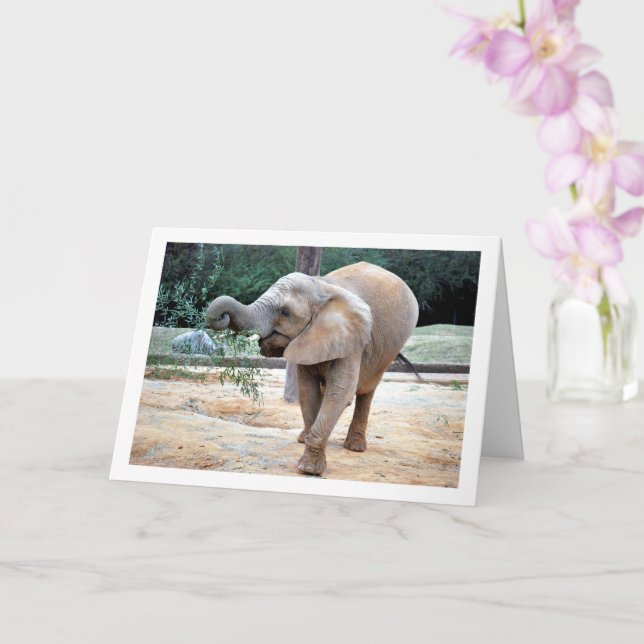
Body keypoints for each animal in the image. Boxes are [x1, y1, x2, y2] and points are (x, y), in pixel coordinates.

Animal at [205, 261, 419, 476]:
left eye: (285, 312)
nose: (223, 316)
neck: (322, 286)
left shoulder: (352, 339)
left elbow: (340, 391)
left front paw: (309, 469)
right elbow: (308, 389)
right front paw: (305, 443)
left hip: (387, 352)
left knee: (367, 390)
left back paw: (355, 447)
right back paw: (305, 437)